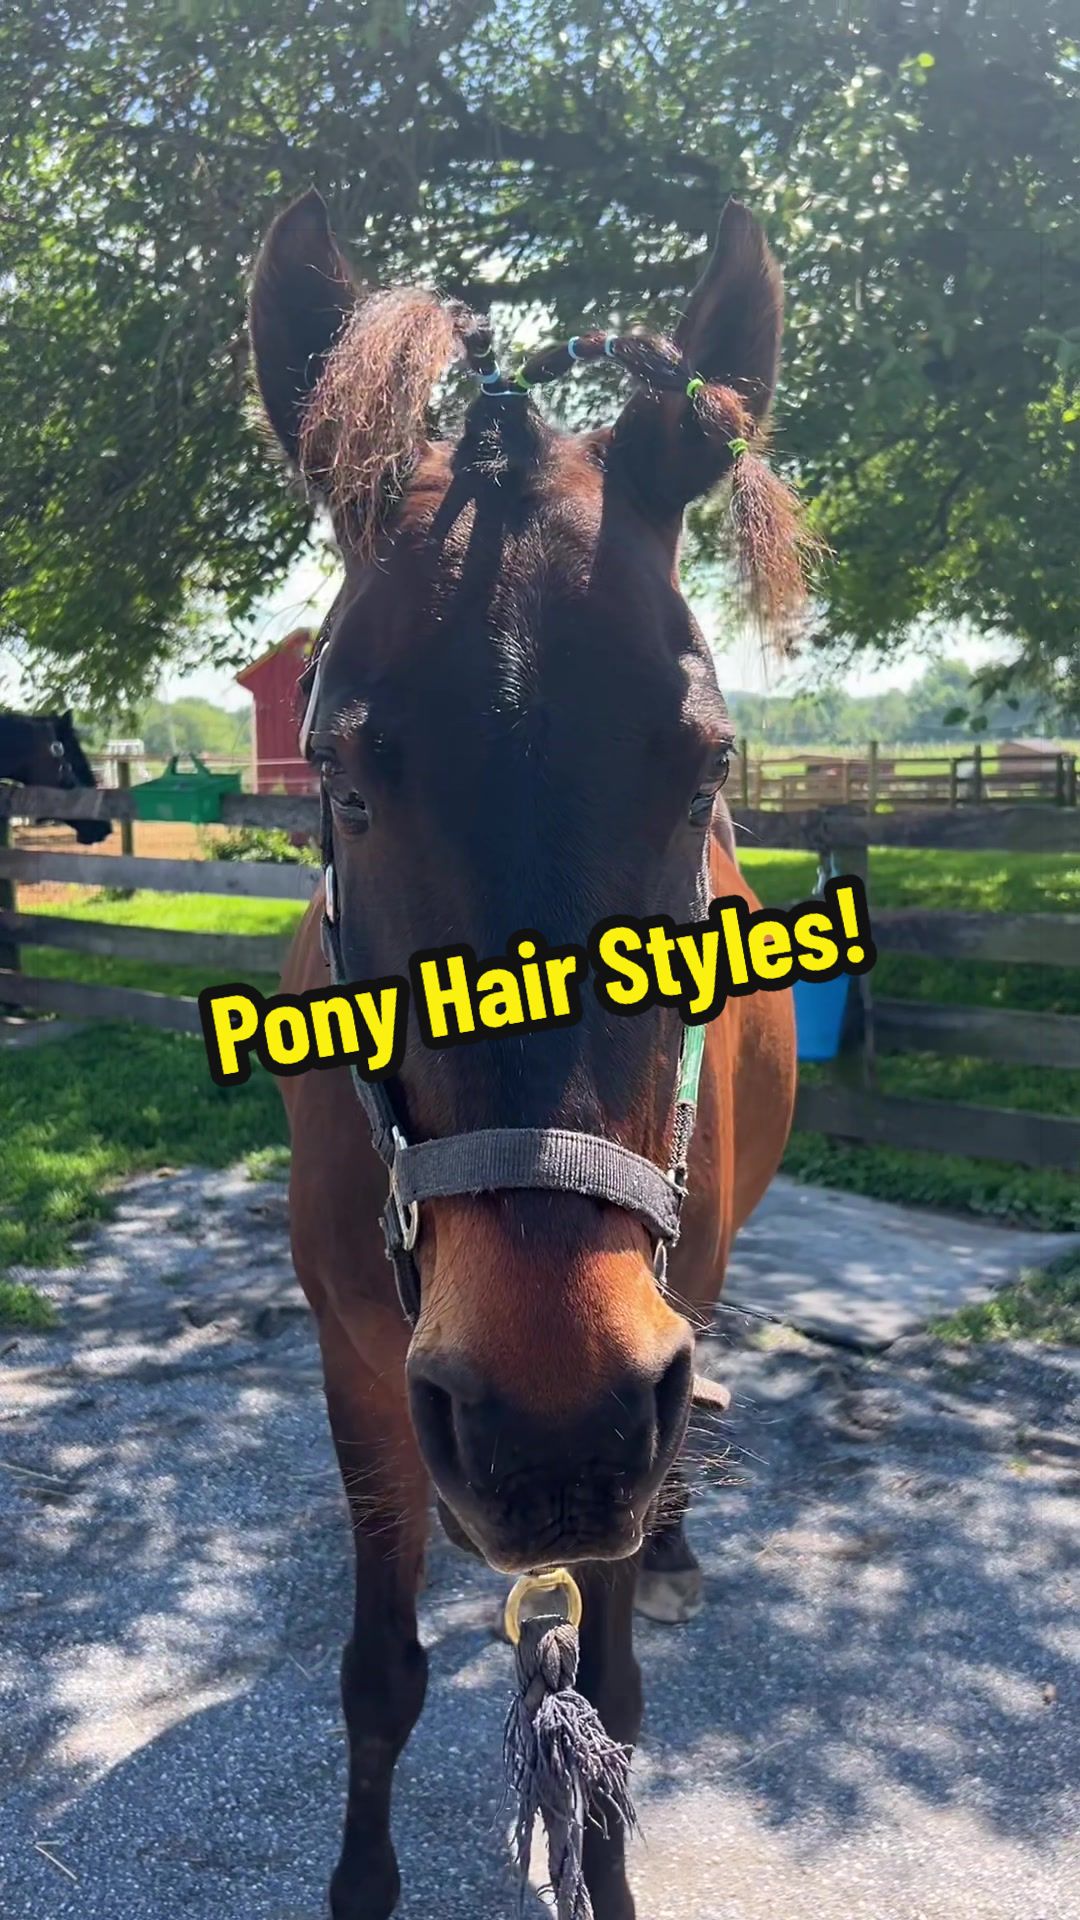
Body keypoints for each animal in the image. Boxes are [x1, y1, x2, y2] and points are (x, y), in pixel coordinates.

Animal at [251, 187, 802, 1920]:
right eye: (344, 776)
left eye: (702, 765)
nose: (551, 1424)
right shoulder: (361, 1363)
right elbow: (377, 1679)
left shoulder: (644, 1360)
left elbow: (604, 1700)